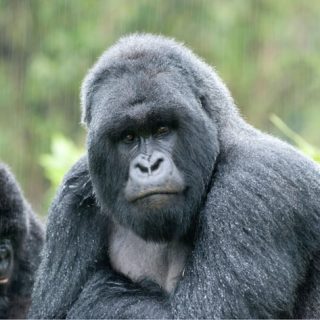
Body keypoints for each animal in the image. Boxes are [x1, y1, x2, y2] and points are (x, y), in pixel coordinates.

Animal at [28, 33, 318, 318]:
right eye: (128, 137)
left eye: (162, 130)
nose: (149, 166)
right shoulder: (73, 196)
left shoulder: (252, 187)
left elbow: (197, 313)